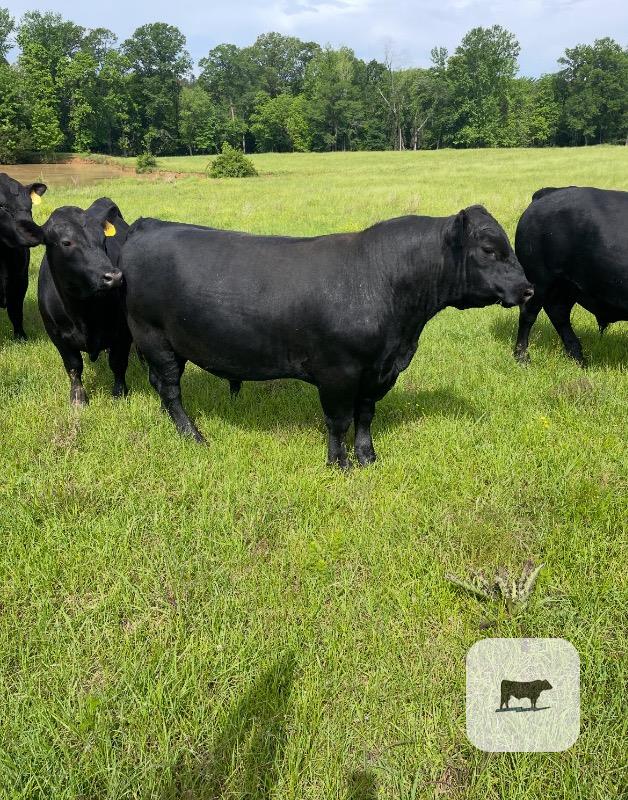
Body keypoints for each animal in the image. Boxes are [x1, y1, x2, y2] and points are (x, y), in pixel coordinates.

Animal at [0, 173, 48, 340]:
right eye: (2, 206)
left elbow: (16, 311)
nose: (34, 233)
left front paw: (21, 337)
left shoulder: (20, 278)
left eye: (30, 206)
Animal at [38, 198, 132, 406]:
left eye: (103, 240)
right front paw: (78, 399)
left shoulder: (123, 332)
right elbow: (73, 366)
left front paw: (119, 394)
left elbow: (118, 363)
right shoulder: (55, 334)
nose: (114, 276)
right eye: (66, 242)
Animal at [121, 206, 533, 468]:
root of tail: (148, 225)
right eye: (489, 249)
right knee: (171, 389)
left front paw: (367, 457)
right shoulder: (338, 372)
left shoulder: (378, 372)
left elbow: (364, 416)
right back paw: (192, 434)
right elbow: (338, 420)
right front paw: (339, 463)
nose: (528, 289)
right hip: (154, 337)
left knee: (161, 386)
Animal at [514, 186, 628, 365]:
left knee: (558, 314)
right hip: (538, 280)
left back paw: (577, 357)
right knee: (528, 316)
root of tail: (550, 192)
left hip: (565, 285)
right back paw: (522, 357)